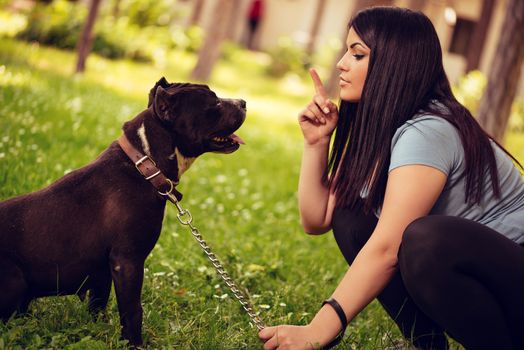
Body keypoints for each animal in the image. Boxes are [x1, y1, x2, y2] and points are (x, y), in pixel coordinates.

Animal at [0, 78, 246, 346]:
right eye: (214, 103)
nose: (243, 102)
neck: (145, 164)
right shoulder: (127, 261)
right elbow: (132, 311)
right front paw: (134, 344)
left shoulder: (103, 270)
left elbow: (98, 305)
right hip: (15, 281)